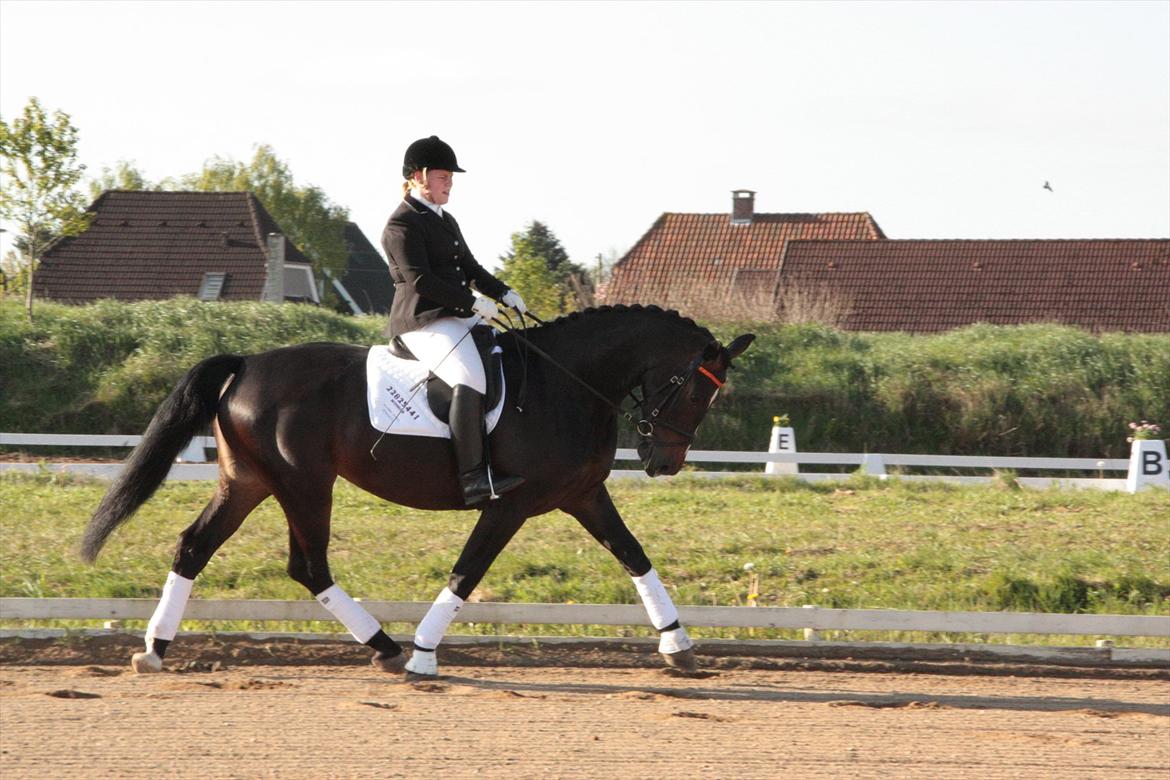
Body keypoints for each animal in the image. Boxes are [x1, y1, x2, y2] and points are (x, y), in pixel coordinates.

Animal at [84, 304, 758, 678]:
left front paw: (679, 647)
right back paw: (386, 648)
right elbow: (467, 571)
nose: (664, 462)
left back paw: (155, 649)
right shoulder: (510, 503)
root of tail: (247, 364)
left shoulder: (583, 494)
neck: (566, 382)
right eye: (694, 391)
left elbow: (635, 555)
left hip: (247, 481)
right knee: (308, 565)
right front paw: (426, 654)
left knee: (195, 547)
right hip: (304, 483)